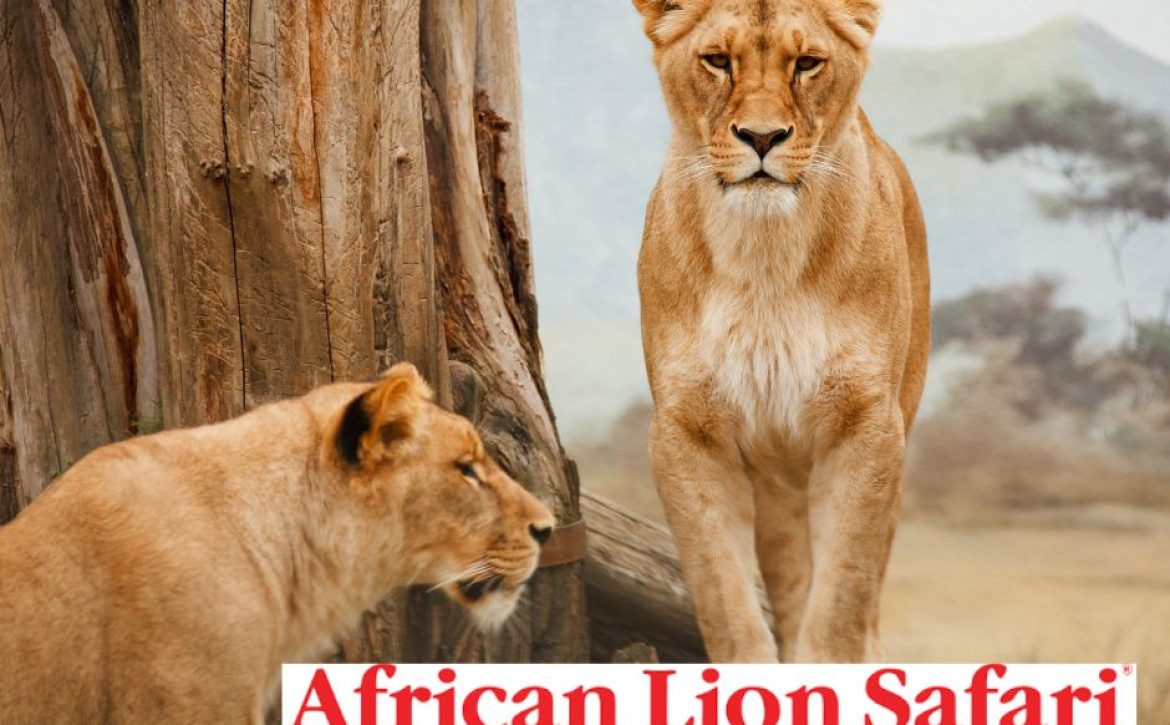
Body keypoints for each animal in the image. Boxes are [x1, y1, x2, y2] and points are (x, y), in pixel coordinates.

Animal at [632, 0, 930, 662]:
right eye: (718, 60)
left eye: (808, 63)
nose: (763, 138)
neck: (764, 256)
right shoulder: (685, 432)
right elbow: (723, 597)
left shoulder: (868, 426)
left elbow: (842, 604)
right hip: (776, 481)